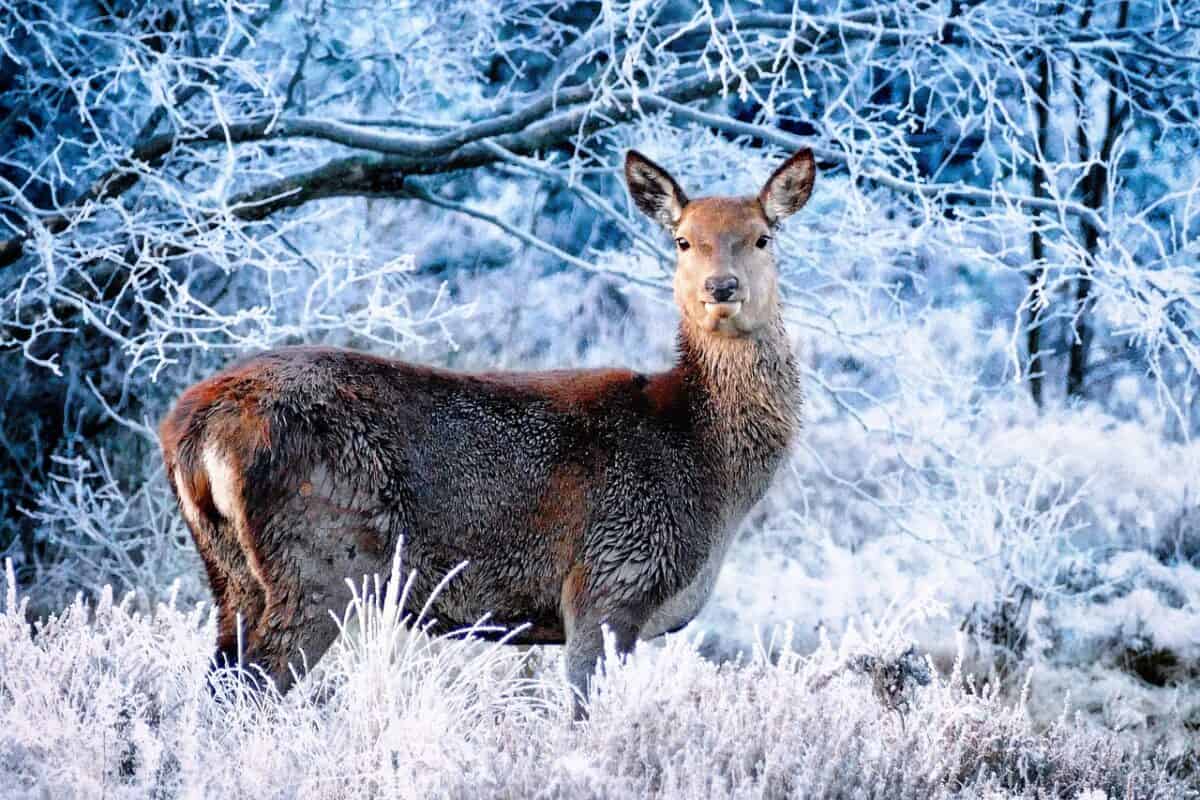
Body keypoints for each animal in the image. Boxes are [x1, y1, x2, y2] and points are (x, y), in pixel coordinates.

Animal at [159, 147, 814, 717]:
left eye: (763, 237)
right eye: (682, 240)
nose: (721, 288)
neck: (706, 464)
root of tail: (191, 430)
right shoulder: (609, 581)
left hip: (230, 574)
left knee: (217, 687)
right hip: (319, 559)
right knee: (252, 691)